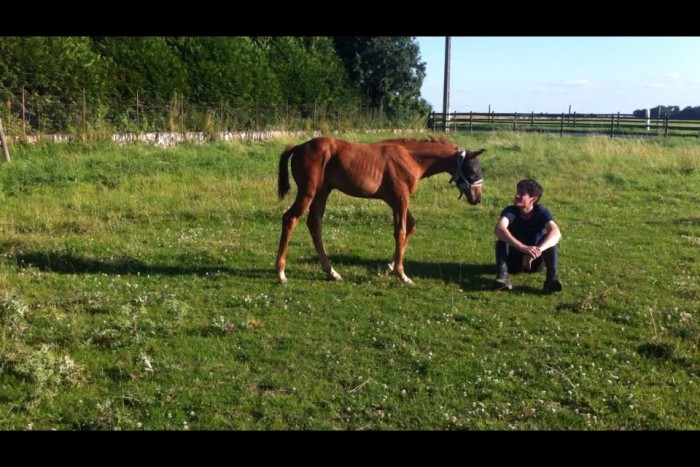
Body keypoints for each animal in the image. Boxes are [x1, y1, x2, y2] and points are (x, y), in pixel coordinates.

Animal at [276, 136, 484, 286]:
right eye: (473, 172)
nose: (477, 198)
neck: (410, 157)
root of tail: (299, 147)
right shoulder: (401, 198)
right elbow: (400, 231)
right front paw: (402, 275)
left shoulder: (393, 200)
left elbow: (410, 225)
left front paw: (388, 268)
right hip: (308, 192)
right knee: (290, 218)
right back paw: (281, 273)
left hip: (322, 192)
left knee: (314, 224)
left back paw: (332, 272)